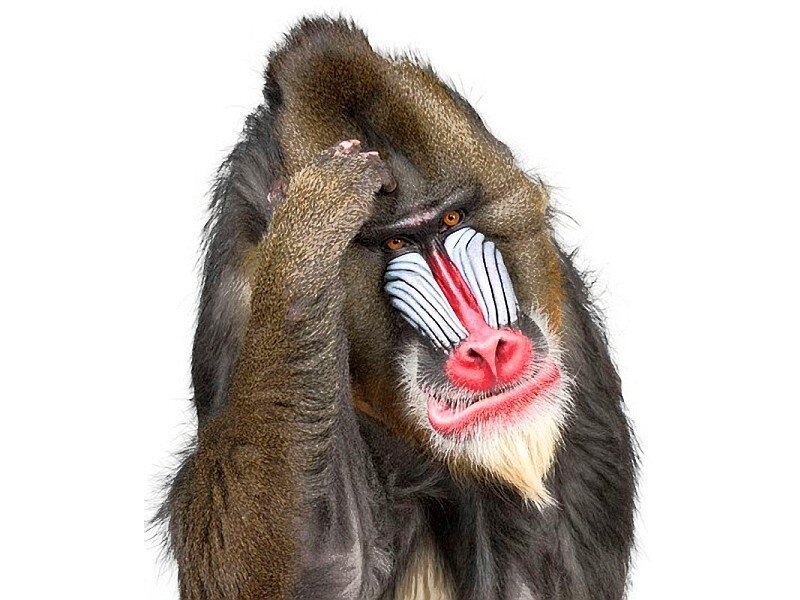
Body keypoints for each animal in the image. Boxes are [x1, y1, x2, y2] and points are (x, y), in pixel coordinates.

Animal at [160, 17, 637, 600]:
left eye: (452, 219)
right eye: (394, 243)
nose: (489, 350)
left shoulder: (561, 307)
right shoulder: (240, 302)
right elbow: (331, 567)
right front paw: (316, 211)